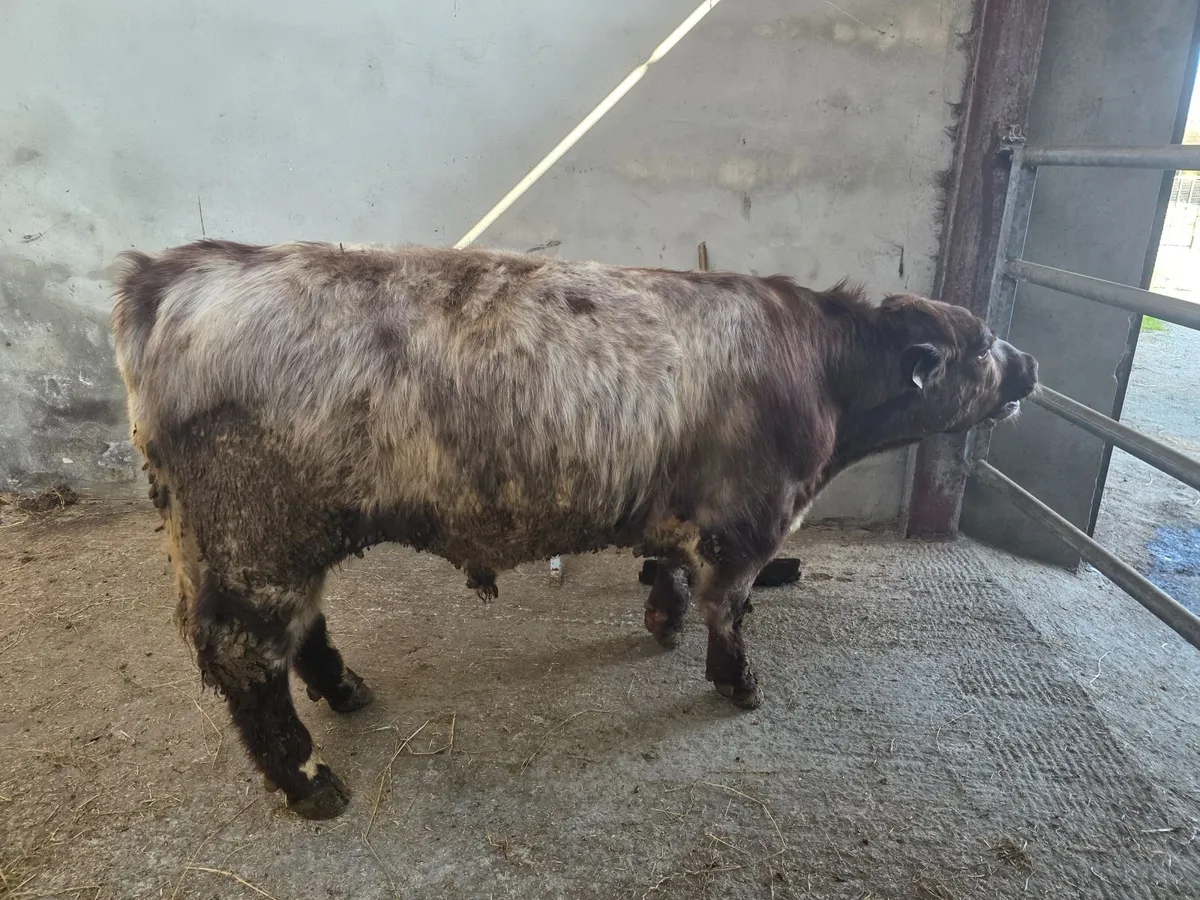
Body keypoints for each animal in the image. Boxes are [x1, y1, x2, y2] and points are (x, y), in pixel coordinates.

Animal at [110, 239, 1037, 819]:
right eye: (984, 343)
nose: (1031, 362)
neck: (820, 369)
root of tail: (180, 272)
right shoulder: (747, 522)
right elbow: (728, 609)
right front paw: (736, 681)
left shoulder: (685, 511)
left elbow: (669, 572)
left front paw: (661, 621)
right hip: (252, 537)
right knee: (247, 655)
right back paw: (307, 780)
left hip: (281, 539)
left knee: (301, 629)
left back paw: (344, 689)